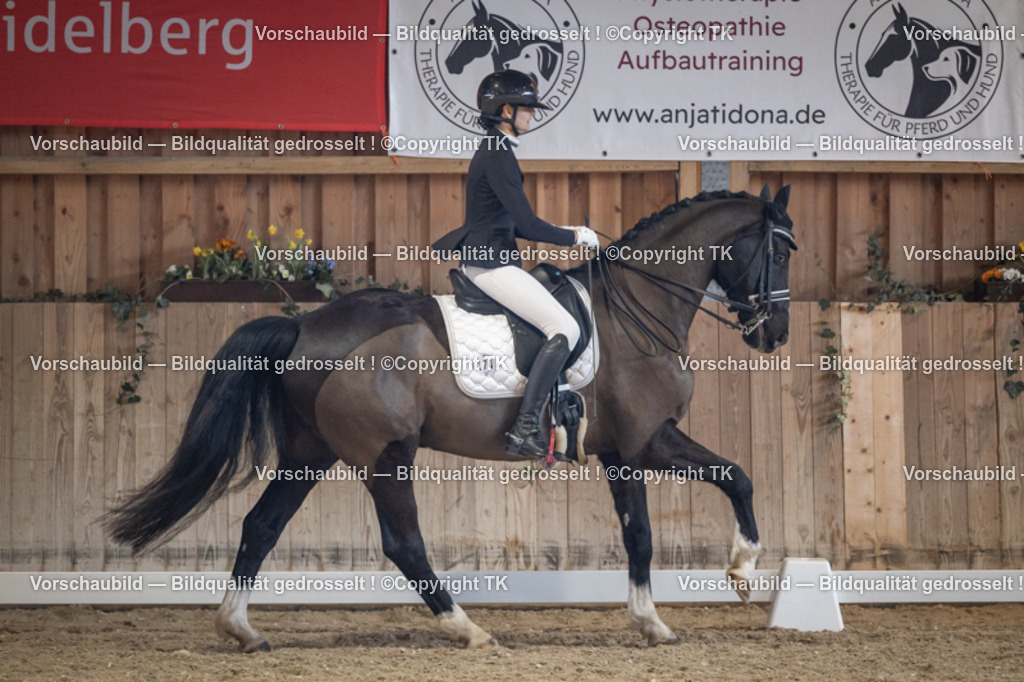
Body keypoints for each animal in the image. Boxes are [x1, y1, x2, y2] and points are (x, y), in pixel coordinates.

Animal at [105, 186, 797, 652]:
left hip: (311, 453)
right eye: (780, 252)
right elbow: (657, 527)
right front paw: (692, 599)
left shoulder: (630, 447)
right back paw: (468, 628)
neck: (638, 311)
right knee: (403, 544)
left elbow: (728, 480)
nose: (776, 334)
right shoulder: (640, 444)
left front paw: (726, 580)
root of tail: (302, 326)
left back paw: (240, 627)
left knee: (261, 525)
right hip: (385, 456)